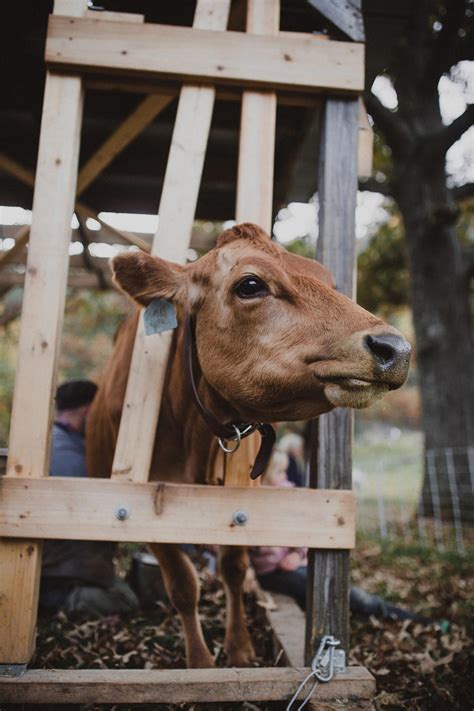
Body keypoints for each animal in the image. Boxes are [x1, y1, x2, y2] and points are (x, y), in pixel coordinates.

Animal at [86, 223, 411, 668]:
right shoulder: (145, 500)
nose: (395, 348)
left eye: (329, 281)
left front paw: (239, 648)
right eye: (251, 284)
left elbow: (234, 566)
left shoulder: (245, 498)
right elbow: (183, 585)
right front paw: (200, 662)